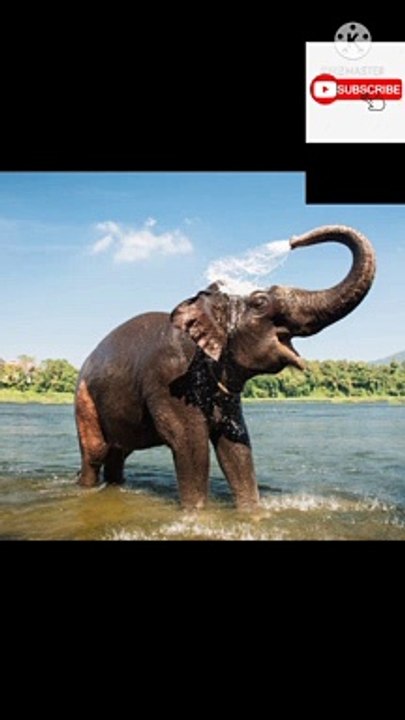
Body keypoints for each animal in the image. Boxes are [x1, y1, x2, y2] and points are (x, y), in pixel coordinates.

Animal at [75, 225, 376, 510]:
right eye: (260, 302)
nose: (293, 241)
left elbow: (236, 446)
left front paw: (251, 511)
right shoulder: (169, 379)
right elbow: (191, 446)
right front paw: (196, 514)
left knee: (118, 454)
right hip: (84, 400)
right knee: (96, 453)